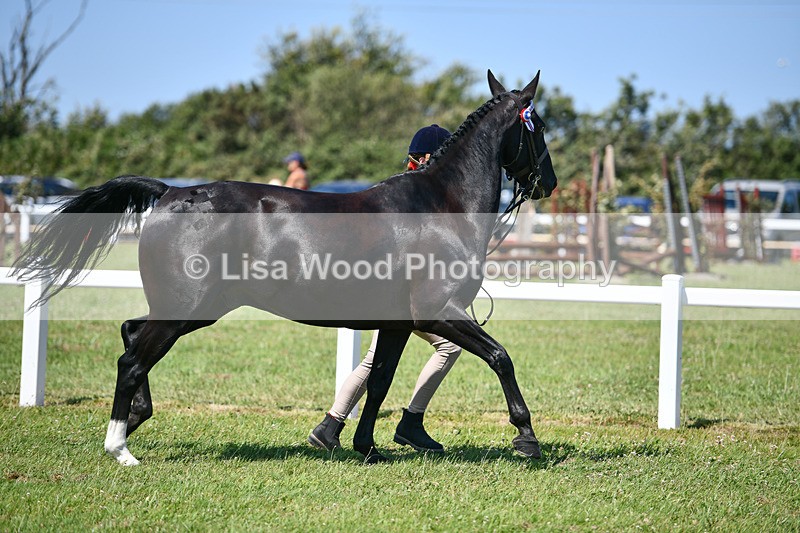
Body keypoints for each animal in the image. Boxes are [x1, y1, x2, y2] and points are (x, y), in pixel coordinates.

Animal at [13, 70, 558, 465]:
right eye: (539, 129)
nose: (549, 182)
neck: (439, 206)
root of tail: (170, 192)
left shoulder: (398, 323)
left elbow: (379, 381)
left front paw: (364, 447)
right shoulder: (438, 312)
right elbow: (500, 357)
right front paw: (526, 438)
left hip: (193, 309)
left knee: (130, 335)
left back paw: (137, 419)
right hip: (185, 308)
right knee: (131, 360)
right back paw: (120, 447)